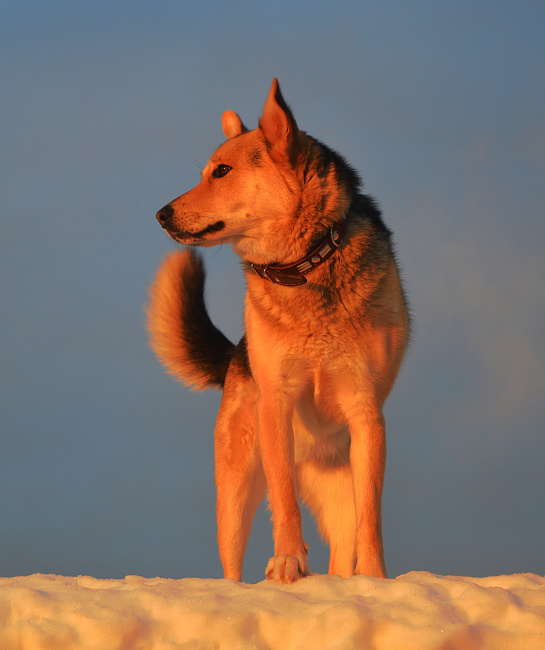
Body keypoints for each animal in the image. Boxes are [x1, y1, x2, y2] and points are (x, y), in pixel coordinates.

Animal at [146, 78, 408, 580]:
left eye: (221, 171)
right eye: (208, 172)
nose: (161, 214)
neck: (307, 265)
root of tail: (235, 356)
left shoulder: (367, 412)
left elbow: (372, 515)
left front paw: (375, 579)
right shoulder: (277, 402)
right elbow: (285, 500)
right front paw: (288, 561)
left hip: (336, 493)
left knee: (343, 548)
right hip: (235, 493)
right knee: (231, 564)